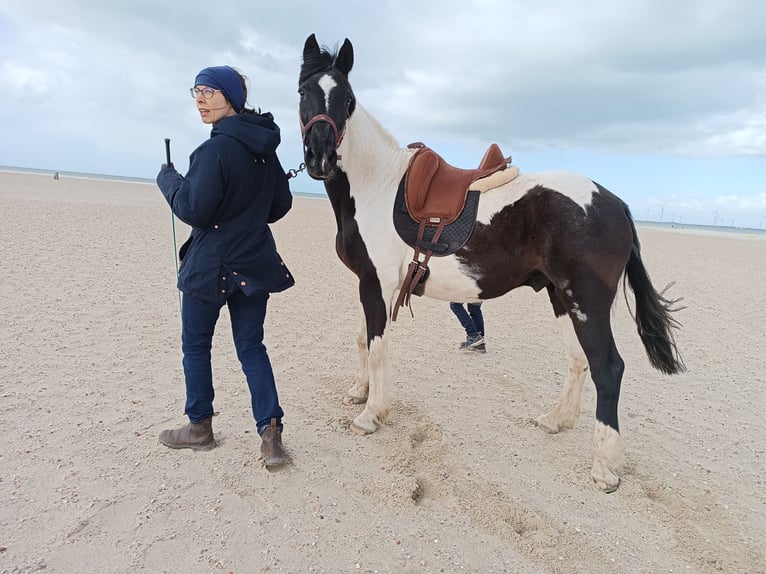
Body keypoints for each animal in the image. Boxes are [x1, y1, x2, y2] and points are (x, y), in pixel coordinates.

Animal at [296, 33, 688, 492]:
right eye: (304, 92)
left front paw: (371, 415)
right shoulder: (367, 282)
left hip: (587, 302)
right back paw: (555, 420)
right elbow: (362, 340)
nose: (321, 156)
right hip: (562, 298)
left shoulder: (378, 286)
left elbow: (376, 348)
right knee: (578, 360)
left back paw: (605, 467)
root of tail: (614, 202)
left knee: (607, 368)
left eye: (348, 98)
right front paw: (359, 392)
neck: (376, 185)